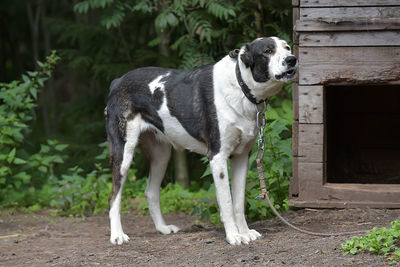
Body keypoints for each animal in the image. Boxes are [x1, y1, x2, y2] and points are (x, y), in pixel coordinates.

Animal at [104, 36, 296, 246]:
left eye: (287, 48)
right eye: (268, 51)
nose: (292, 59)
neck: (240, 86)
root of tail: (117, 82)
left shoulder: (242, 157)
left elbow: (238, 202)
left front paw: (245, 232)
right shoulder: (218, 158)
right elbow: (227, 202)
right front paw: (234, 236)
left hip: (161, 156)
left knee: (151, 192)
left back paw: (162, 228)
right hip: (124, 153)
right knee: (114, 197)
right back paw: (117, 235)